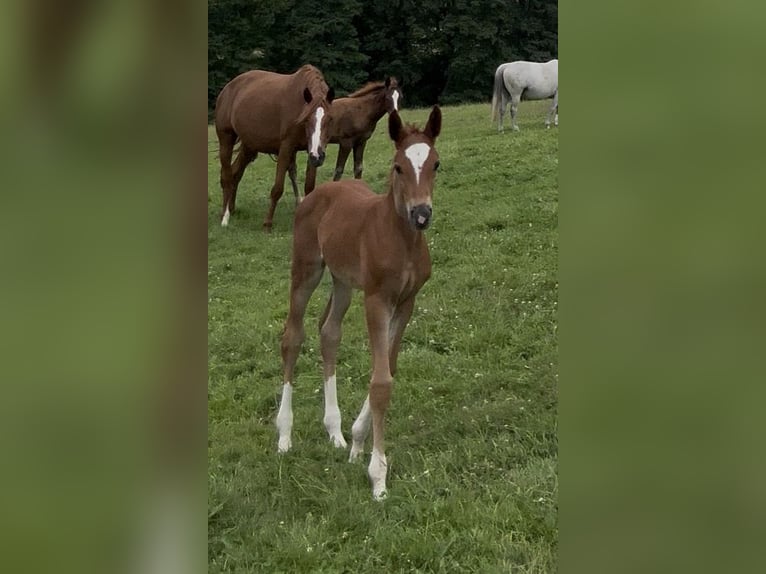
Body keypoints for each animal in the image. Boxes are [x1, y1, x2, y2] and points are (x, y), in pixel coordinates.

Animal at [214, 65, 335, 230]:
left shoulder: (312, 151)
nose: (318, 156)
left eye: (329, 119)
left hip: (249, 146)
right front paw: (267, 223)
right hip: (226, 139)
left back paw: (231, 209)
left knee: (235, 173)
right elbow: (277, 188)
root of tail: (227, 89)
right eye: (307, 119)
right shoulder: (286, 147)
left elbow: (309, 187)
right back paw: (225, 217)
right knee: (226, 176)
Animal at [276, 106, 442, 500]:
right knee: (293, 337)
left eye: (436, 164)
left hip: (343, 283)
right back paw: (284, 435)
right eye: (398, 166)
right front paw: (378, 474)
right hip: (306, 271)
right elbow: (381, 382)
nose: (421, 214)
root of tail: (319, 191)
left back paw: (334, 430)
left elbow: (388, 367)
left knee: (329, 333)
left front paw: (356, 441)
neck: (401, 239)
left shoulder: (407, 302)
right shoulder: (376, 299)